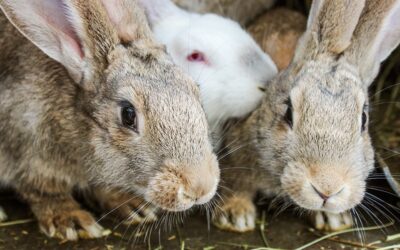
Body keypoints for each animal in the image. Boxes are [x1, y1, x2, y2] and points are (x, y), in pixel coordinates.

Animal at [0, 0, 219, 241]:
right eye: (128, 114)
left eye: (196, 90)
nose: (201, 188)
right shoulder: (25, 142)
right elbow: (44, 191)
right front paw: (70, 220)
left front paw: (133, 206)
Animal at [214, 0, 400, 232]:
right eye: (288, 112)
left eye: (364, 120)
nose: (327, 189)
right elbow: (235, 182)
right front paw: (235, 216)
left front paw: (334, 219)